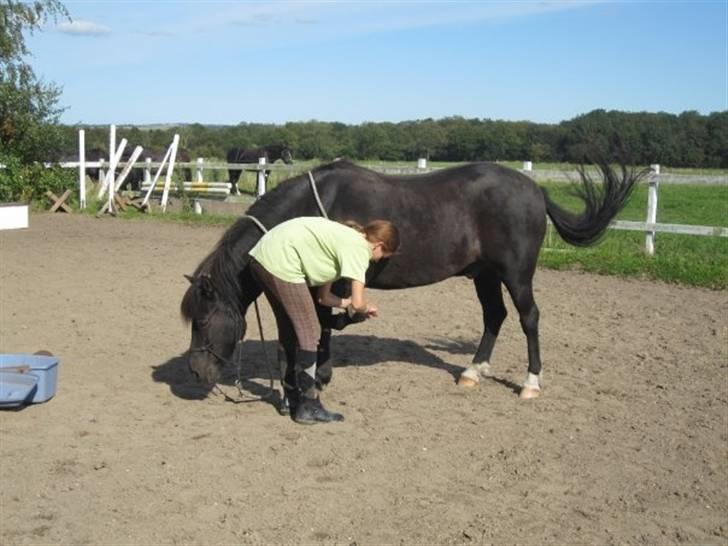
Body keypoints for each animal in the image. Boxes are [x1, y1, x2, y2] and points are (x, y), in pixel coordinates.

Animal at [181, 158, 645, 408]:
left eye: (202, 321)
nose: (196, 373)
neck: (315, 208)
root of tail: (534, 188)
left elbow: (324, 325)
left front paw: (321, 376)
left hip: (516, 274)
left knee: (528, 318)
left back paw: (530, 383)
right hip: (485, 275)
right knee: (494, 317)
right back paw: (473, 372)